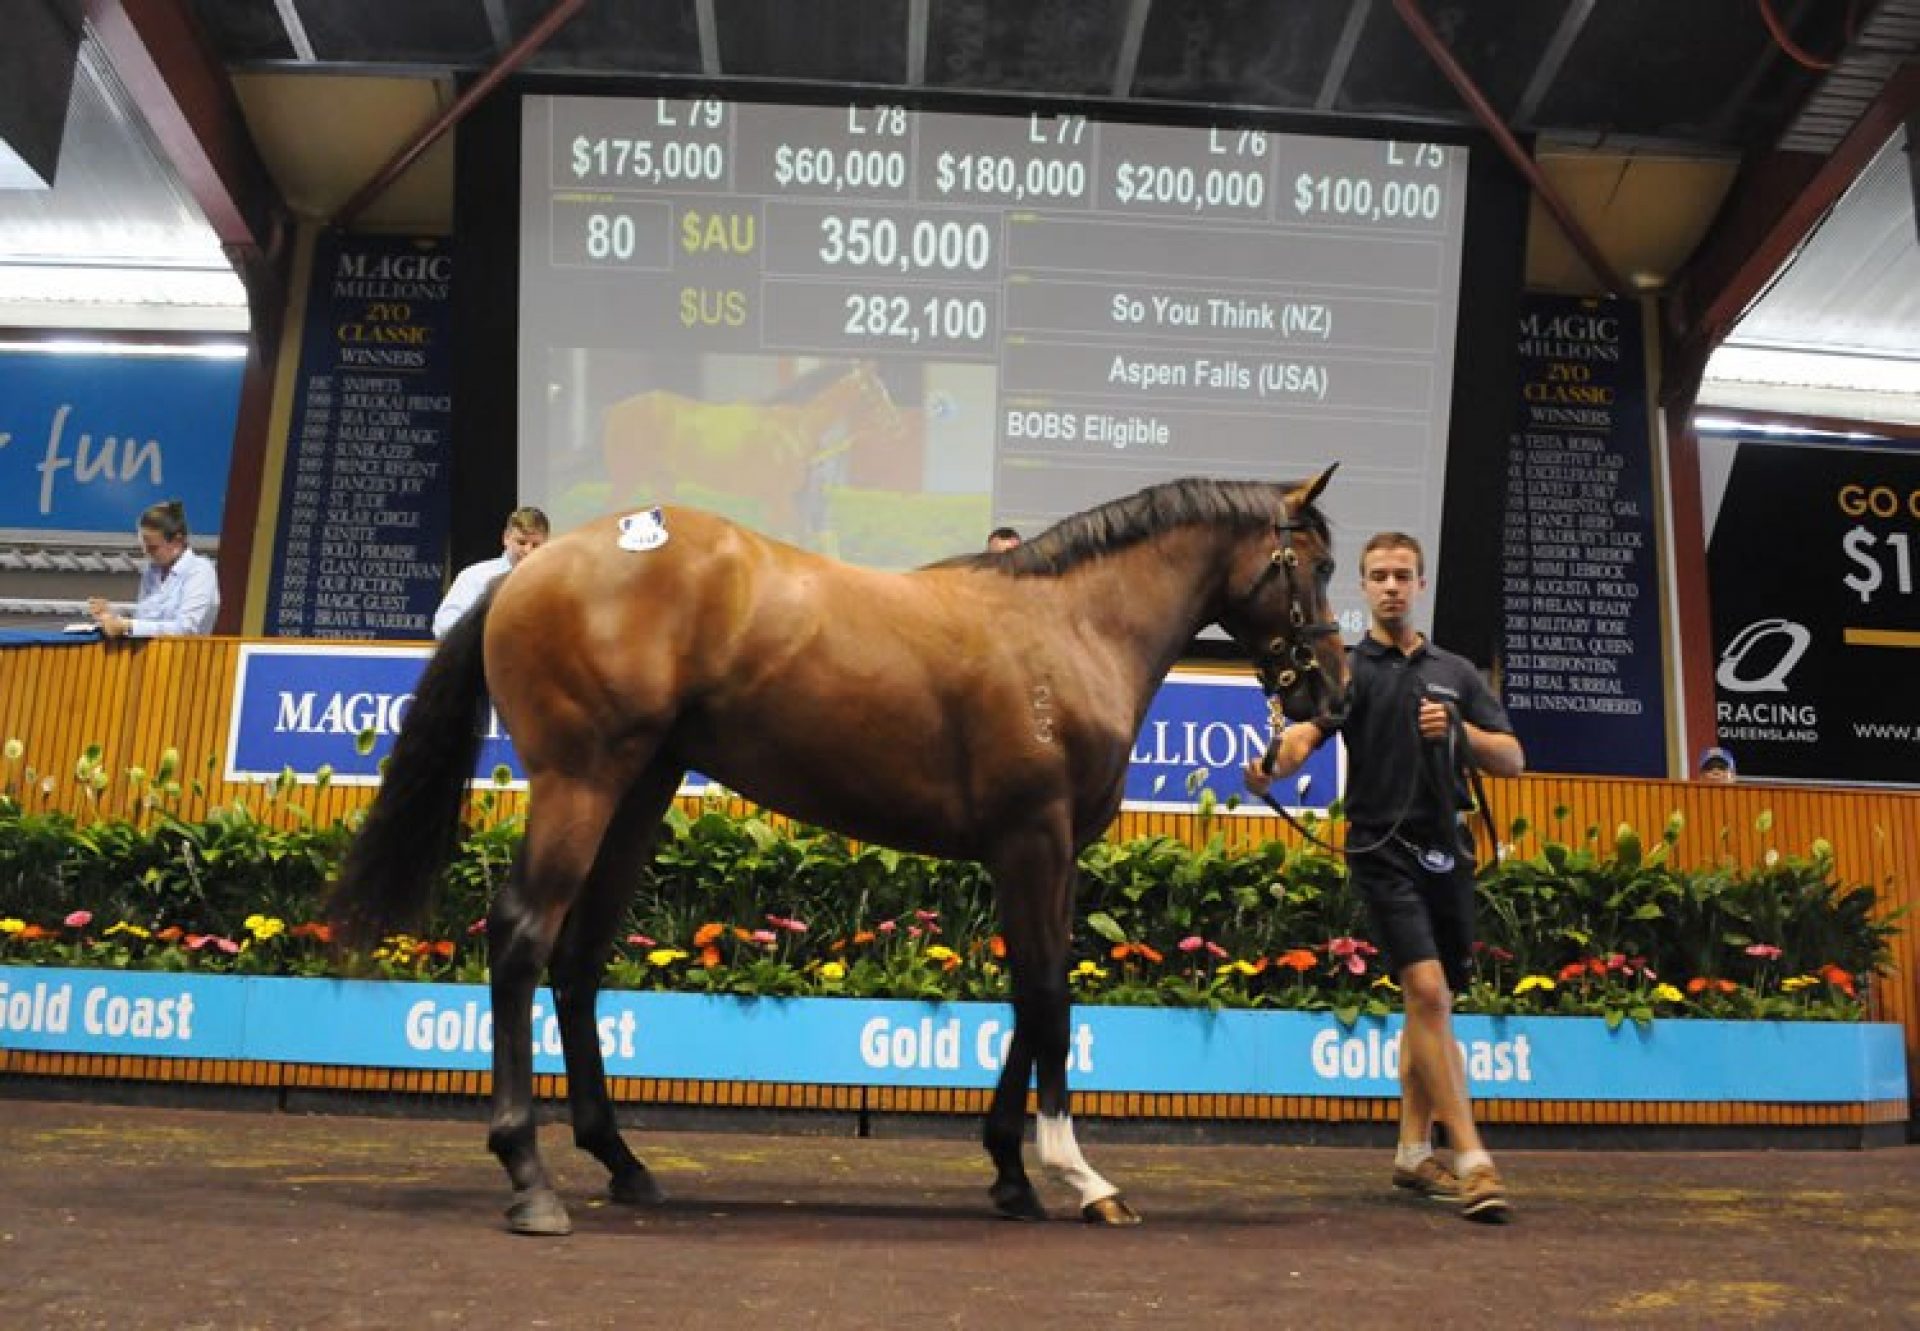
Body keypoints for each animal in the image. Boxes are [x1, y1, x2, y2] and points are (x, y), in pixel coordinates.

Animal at [330, 470, 1344, 1236]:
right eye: (1320, 565)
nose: (1329, 696)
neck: (1069, 628)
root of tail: (531, 571)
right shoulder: (1036, 841)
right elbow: (1049, 998)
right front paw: (1079, 1175)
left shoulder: (1042, 857)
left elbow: (1032, 995)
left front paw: (1011, 1172)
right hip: (581, 784)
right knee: (521, 937)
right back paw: (529, 1175)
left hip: (639, 790)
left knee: (577, 961)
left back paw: (622, 1159)